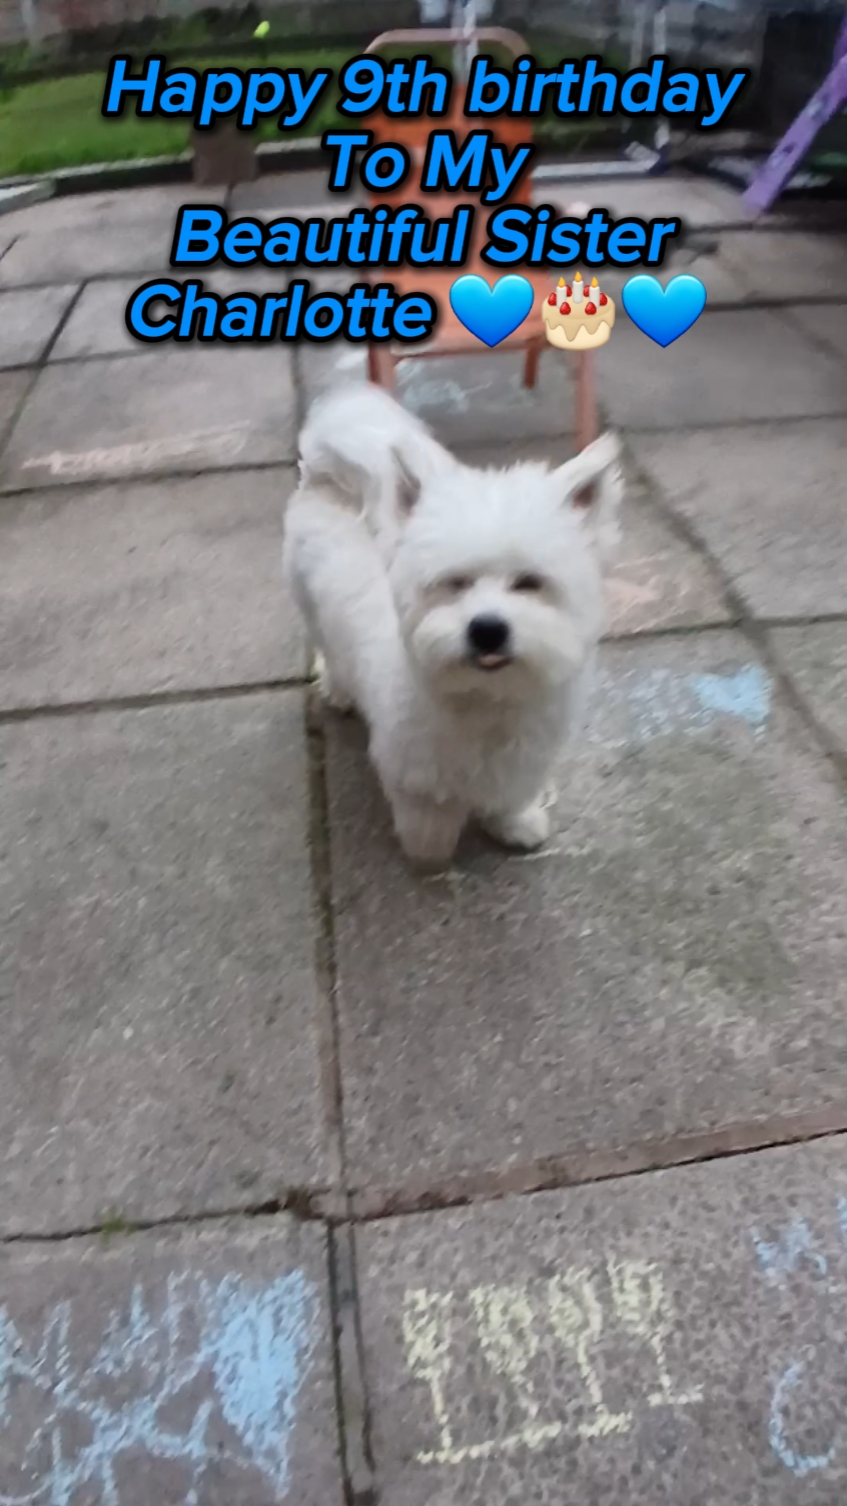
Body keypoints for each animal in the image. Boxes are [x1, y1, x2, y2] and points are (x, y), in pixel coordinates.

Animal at [283, 384, 623, 869]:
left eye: (529, 583)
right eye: (454, 583)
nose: (487, 629)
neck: (489, 697)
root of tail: (325, 478)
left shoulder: (525, 757)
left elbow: (510, 796)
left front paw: (515, 825)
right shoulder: (414, 769)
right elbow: (429, 817)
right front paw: (430, 854)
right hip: (310, 605)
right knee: (329, 650)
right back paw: (340, 692)